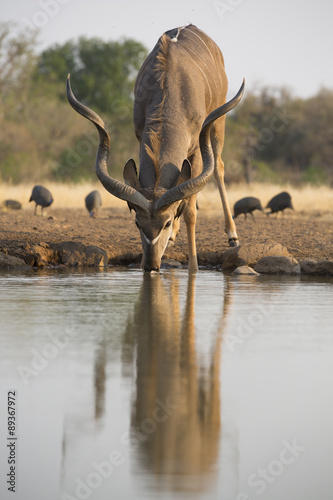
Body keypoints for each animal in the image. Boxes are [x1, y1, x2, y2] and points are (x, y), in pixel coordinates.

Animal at [66, 25, 243, 272]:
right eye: (137, 223)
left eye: (165, 222)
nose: (151, 265)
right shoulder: (140, 135)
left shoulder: (198, 148)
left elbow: (190, 211)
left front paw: (194, 266)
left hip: (218, 126)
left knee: (218, 167)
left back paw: (232, 235)